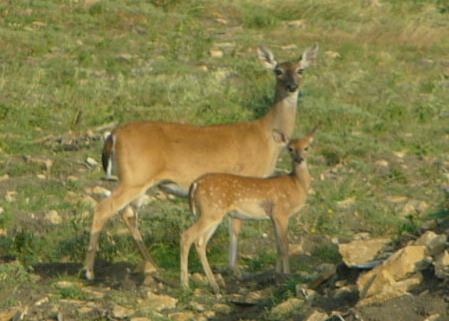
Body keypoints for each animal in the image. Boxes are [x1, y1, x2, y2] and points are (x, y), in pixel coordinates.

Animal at [180, 126, 316, 292]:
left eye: (307, 147)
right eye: (290, 148)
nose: (299, 159)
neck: (297, 185)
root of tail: (194, 185)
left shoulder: (273, 217)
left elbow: (277, 245)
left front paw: (277, 274)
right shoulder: (281, 212)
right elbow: (285, 245)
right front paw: (287, 275)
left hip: (210, 213)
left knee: (200, 242)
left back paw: (214, 285)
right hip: (211, 211)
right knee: (187, 236)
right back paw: (185, 285)